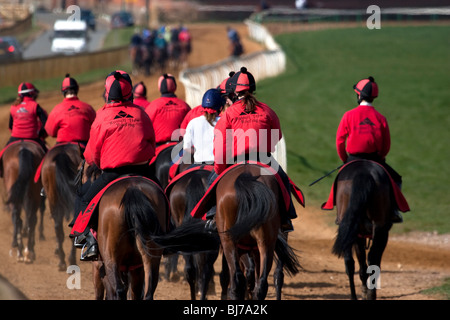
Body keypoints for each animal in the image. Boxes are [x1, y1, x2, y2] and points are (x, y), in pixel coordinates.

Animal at [76, 162, 170, 300]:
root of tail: (132, 189)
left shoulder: (99, 266)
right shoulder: (136, 268)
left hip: (110, 258)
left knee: (118, 290)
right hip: (150, 258)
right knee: (147, 293)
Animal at [332, 160, 396, 300]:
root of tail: (363, 173)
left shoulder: (358, 235)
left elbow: (361, 267)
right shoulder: (379, 234)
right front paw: (366, 292)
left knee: (350, 263)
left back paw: (355, 296)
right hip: (379, 230)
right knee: (371, 260)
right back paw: (370, 295)